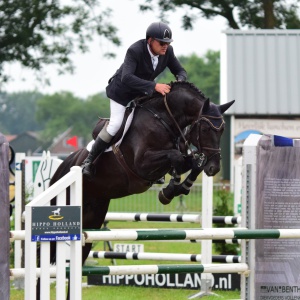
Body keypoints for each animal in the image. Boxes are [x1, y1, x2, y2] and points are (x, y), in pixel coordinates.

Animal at [42, 81, 234, 298]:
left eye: (222, 130)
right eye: (206, 129)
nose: (214, 168)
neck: (164, 120)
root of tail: (65, 166)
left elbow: (191, 163)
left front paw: (176, 188)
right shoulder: (143, 164)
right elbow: (177, 157)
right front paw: (170, 190)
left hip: (92, 220)